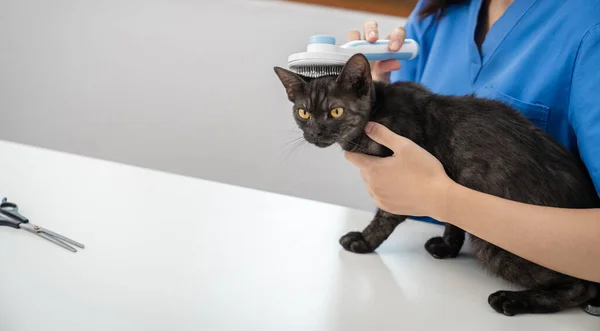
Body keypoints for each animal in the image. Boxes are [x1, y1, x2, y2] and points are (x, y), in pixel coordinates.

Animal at [274, 53, 596, 316]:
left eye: (336, 112)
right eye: (303, 113)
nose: (315, 133)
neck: (375, 113)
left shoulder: (400, 178)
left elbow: (384, 218)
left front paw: (363, 241)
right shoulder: (455, 177)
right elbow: (453, 216)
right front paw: (448, 247)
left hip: (495, 245)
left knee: (583, 287)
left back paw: (513, 300)